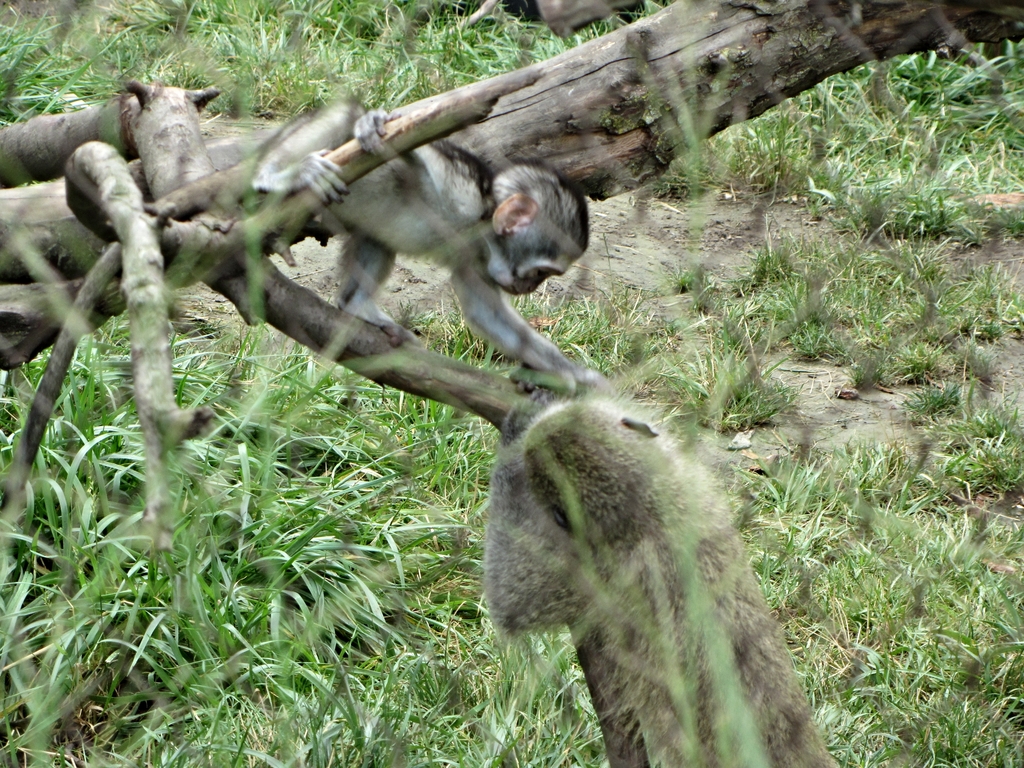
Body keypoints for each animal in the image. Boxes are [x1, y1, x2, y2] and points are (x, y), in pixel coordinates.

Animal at [252, 100, 609, 393]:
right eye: (539, 272)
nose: (527, 288)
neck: (477, 228)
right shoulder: (457, 194)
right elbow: (411, 153)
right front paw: (371, 122)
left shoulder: (477, 261)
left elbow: (488, 315)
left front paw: (572, 378)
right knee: (341, 117)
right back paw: (274, 175)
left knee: (377, 238)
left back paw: (356, 304)